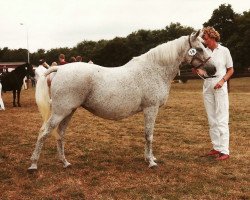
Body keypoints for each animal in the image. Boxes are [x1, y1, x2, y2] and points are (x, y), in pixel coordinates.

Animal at [28, 31, 217, 170]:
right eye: (199, 48)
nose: (213, 69)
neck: (154, 69)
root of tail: (60, 69)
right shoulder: (151, 108)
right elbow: (149, 135)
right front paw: (151, 162)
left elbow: (148, 135)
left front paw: (150, 157)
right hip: (60, 112)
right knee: (44, 132)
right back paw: (33, 164)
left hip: (69, 111)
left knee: (60, 134)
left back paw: (65, 162)